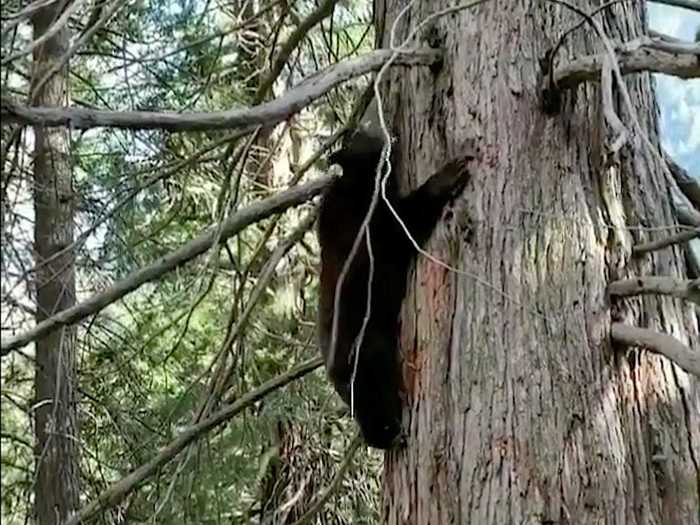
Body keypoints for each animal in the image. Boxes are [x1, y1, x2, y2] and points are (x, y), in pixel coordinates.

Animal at [318, 128, 476, 450]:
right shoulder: (371, 226)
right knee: (375, 386)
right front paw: (449, 174)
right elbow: (406, 223)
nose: (388, 134)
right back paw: (390, 431)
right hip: (365, 342)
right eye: (362, 137)